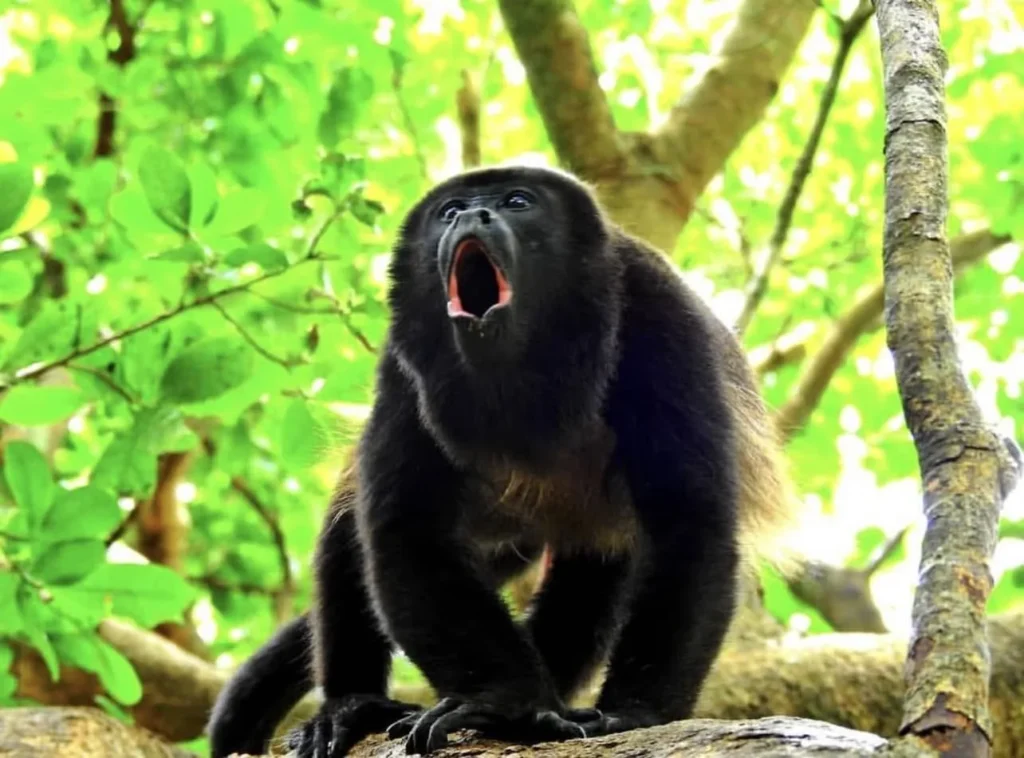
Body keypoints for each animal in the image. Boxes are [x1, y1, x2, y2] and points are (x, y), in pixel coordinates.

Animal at [207, 165, 793, 758]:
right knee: (351, 532)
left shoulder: (661, 315)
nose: (472, 214)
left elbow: (689, 522)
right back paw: (353, 706)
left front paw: (635, 711)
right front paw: (502, 703)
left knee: (595, 575)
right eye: (449, 211)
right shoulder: (403, 357)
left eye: (517, 202)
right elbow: (406, 527)